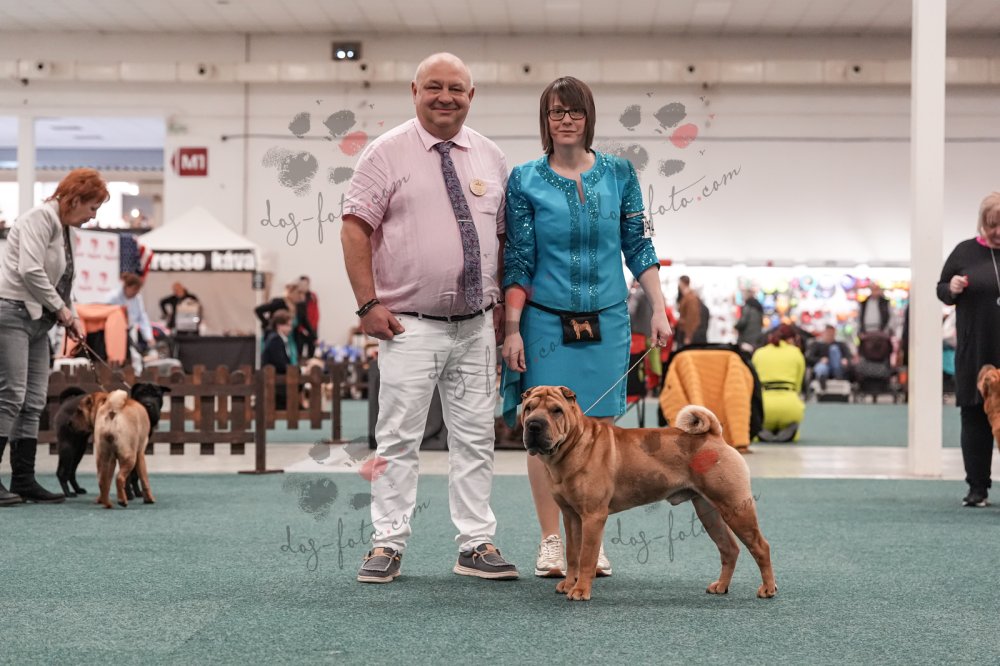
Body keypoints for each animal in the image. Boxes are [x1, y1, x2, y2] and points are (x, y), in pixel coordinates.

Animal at [521, 385, 777, 601]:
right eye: (528, 408)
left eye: (556, 411)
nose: (534, 425)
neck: (572, 446)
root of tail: (715, 435)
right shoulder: (571, 516)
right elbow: (573, 553)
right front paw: (568, 584)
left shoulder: (592, 516)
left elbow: (586, 557)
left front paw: (580, 590)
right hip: (709, 512)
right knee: (729, 548)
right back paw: (721, 586)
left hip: (735, 507)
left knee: (760, 546)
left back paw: (767, 589)